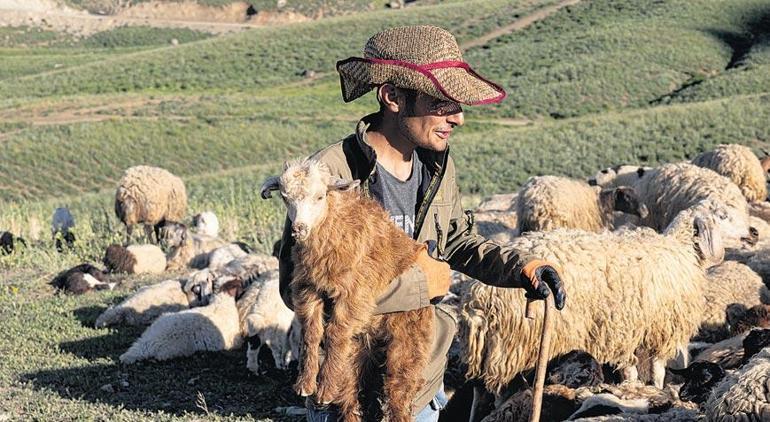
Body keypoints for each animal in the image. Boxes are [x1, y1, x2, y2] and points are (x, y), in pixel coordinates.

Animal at [260, 160, 440, 420]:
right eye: (285, 198)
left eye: (320, 196)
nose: (298, 229)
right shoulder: (308, 288)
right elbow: (312, 332)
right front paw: (306, 384)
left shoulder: (354, 293)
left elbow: (335, 332)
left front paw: (323, 389)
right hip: (355, 353)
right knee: (350, 394)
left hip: (407, 342)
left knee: (398, 391)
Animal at [460, 199, 728, 394]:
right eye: (723, 216)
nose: (750, 234)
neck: (682, 250)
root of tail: (479, 297)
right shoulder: (660, 328)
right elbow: (658, 369)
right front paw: (656, 388)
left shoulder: (629, 330)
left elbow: (631, 369)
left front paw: (633, 386)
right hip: (519, 341)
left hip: (495, 347)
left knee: (481, 389)